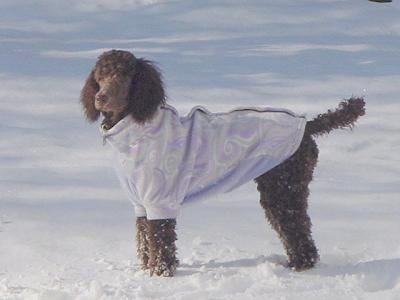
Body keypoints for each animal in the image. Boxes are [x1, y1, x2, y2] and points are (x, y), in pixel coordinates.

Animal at [80, 49, 366, 276]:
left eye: (124, 76)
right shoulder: (141, 204)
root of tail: (308, 126)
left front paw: (161, 275)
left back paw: (299, 267)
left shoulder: (160, 201)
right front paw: (146, 272)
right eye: (100, 76)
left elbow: (161, 243)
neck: (135, 123)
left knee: (298, 232)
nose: (101, 98)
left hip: (282, 189)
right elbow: (145, 240)